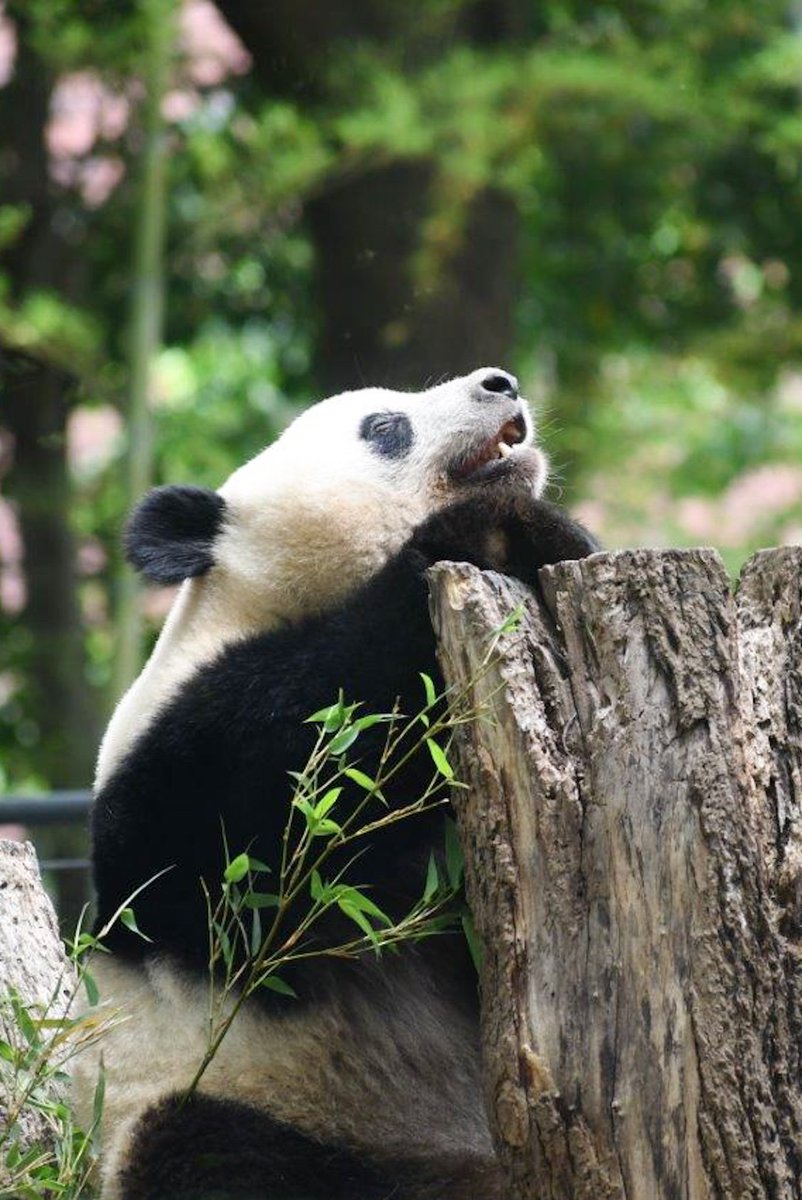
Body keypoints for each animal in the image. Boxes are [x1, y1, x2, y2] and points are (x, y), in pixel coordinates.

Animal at [79, 367, 595, 1200]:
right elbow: (304, 776)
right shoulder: (173, 774)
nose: (502, 382)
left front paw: (558, 538)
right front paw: (492, 528)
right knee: (210, 1152)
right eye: (384, 427)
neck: (258, 602)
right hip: (253, 1101)